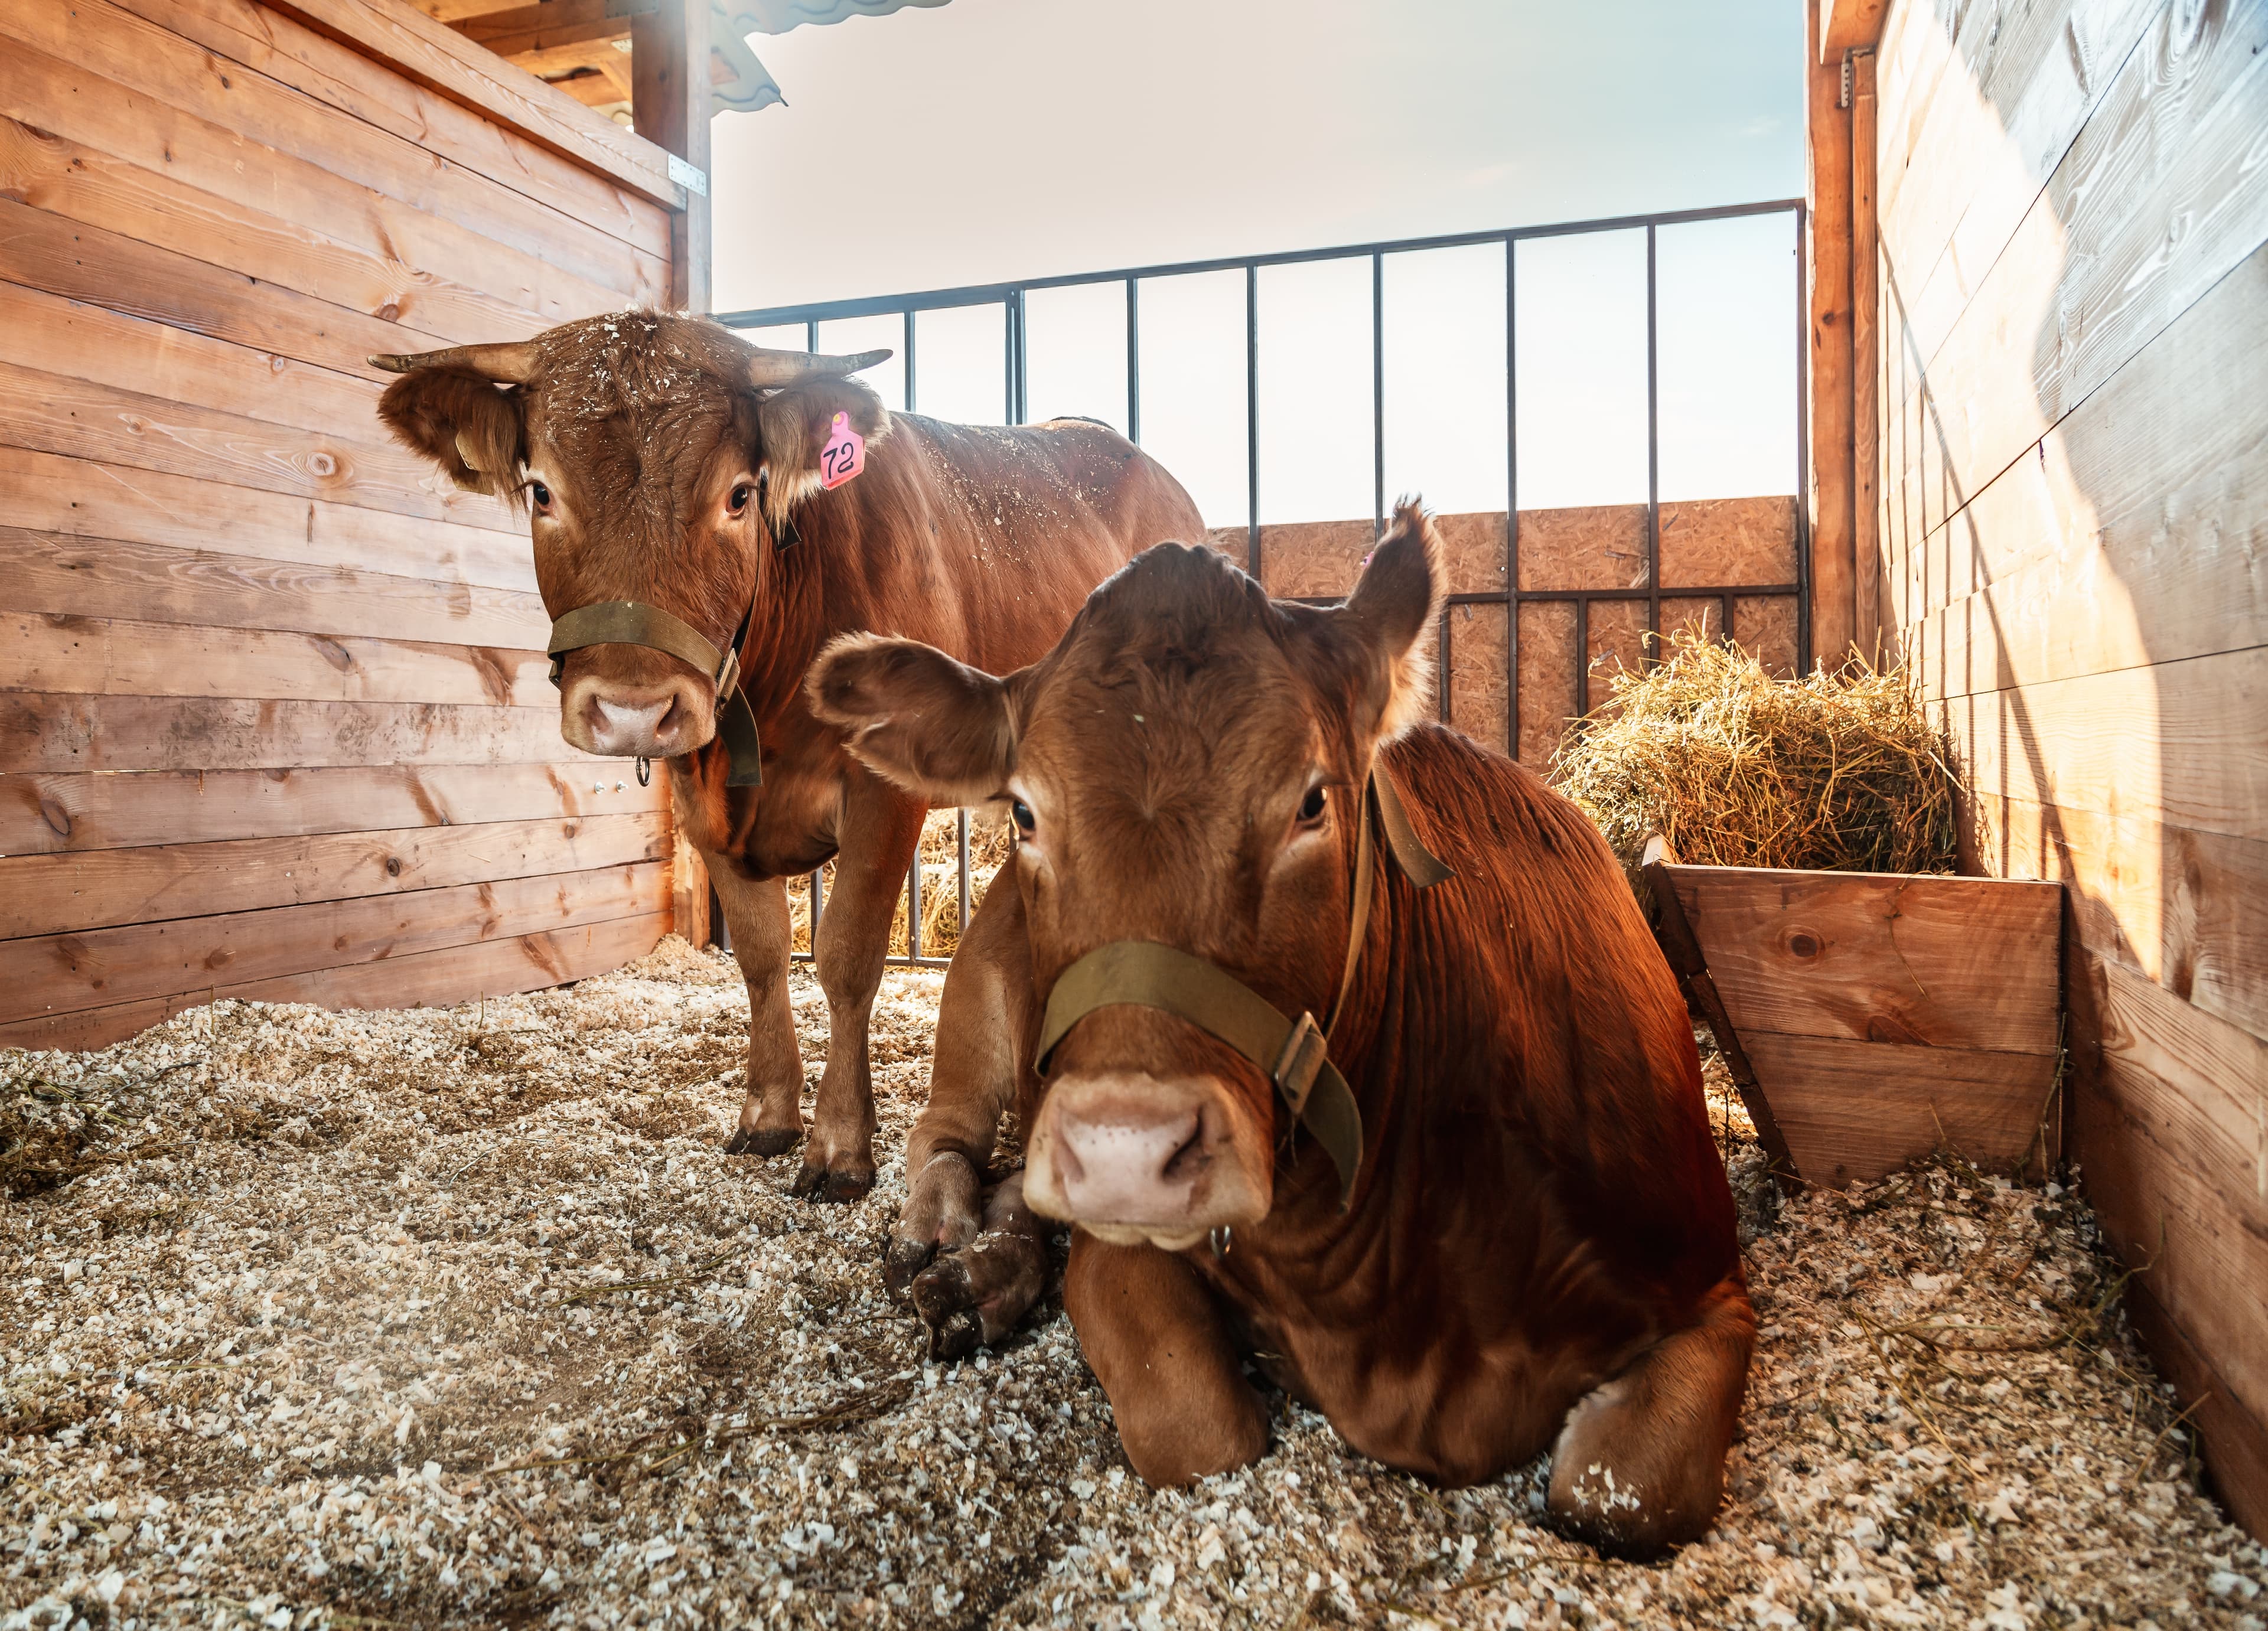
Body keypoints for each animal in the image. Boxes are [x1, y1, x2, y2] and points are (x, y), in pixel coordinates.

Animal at [370, 313, 1203, 1200]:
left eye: (740, 494)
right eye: (541, 492)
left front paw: (840, 1145)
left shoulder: (883, 793)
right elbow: (765, 957)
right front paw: (769, 1113)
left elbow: (845, 958)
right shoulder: (703, 797)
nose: (634, 708)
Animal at [803, 505, 1753, 1554]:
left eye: (1312, 801)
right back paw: (944, 1243)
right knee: (949, 1139)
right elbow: (1200, 1428)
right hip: (976, 997)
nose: (1125, 1152)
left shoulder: (1712, 1290)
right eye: (1022, 810)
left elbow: (1621, 1496)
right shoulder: (1128, 1250)